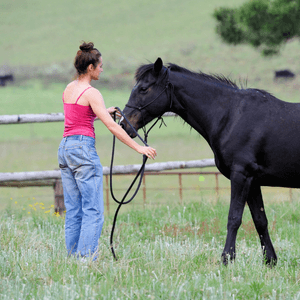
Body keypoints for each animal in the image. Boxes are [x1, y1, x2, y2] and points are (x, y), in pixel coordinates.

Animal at [120, 57, 300, 266]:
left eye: (143, 88)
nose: (123, 125)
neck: (232, 116)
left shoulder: (241, 176)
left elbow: (234, 218)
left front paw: (227, 258)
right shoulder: (253, 181)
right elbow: (260, 220)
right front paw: (270, 261)